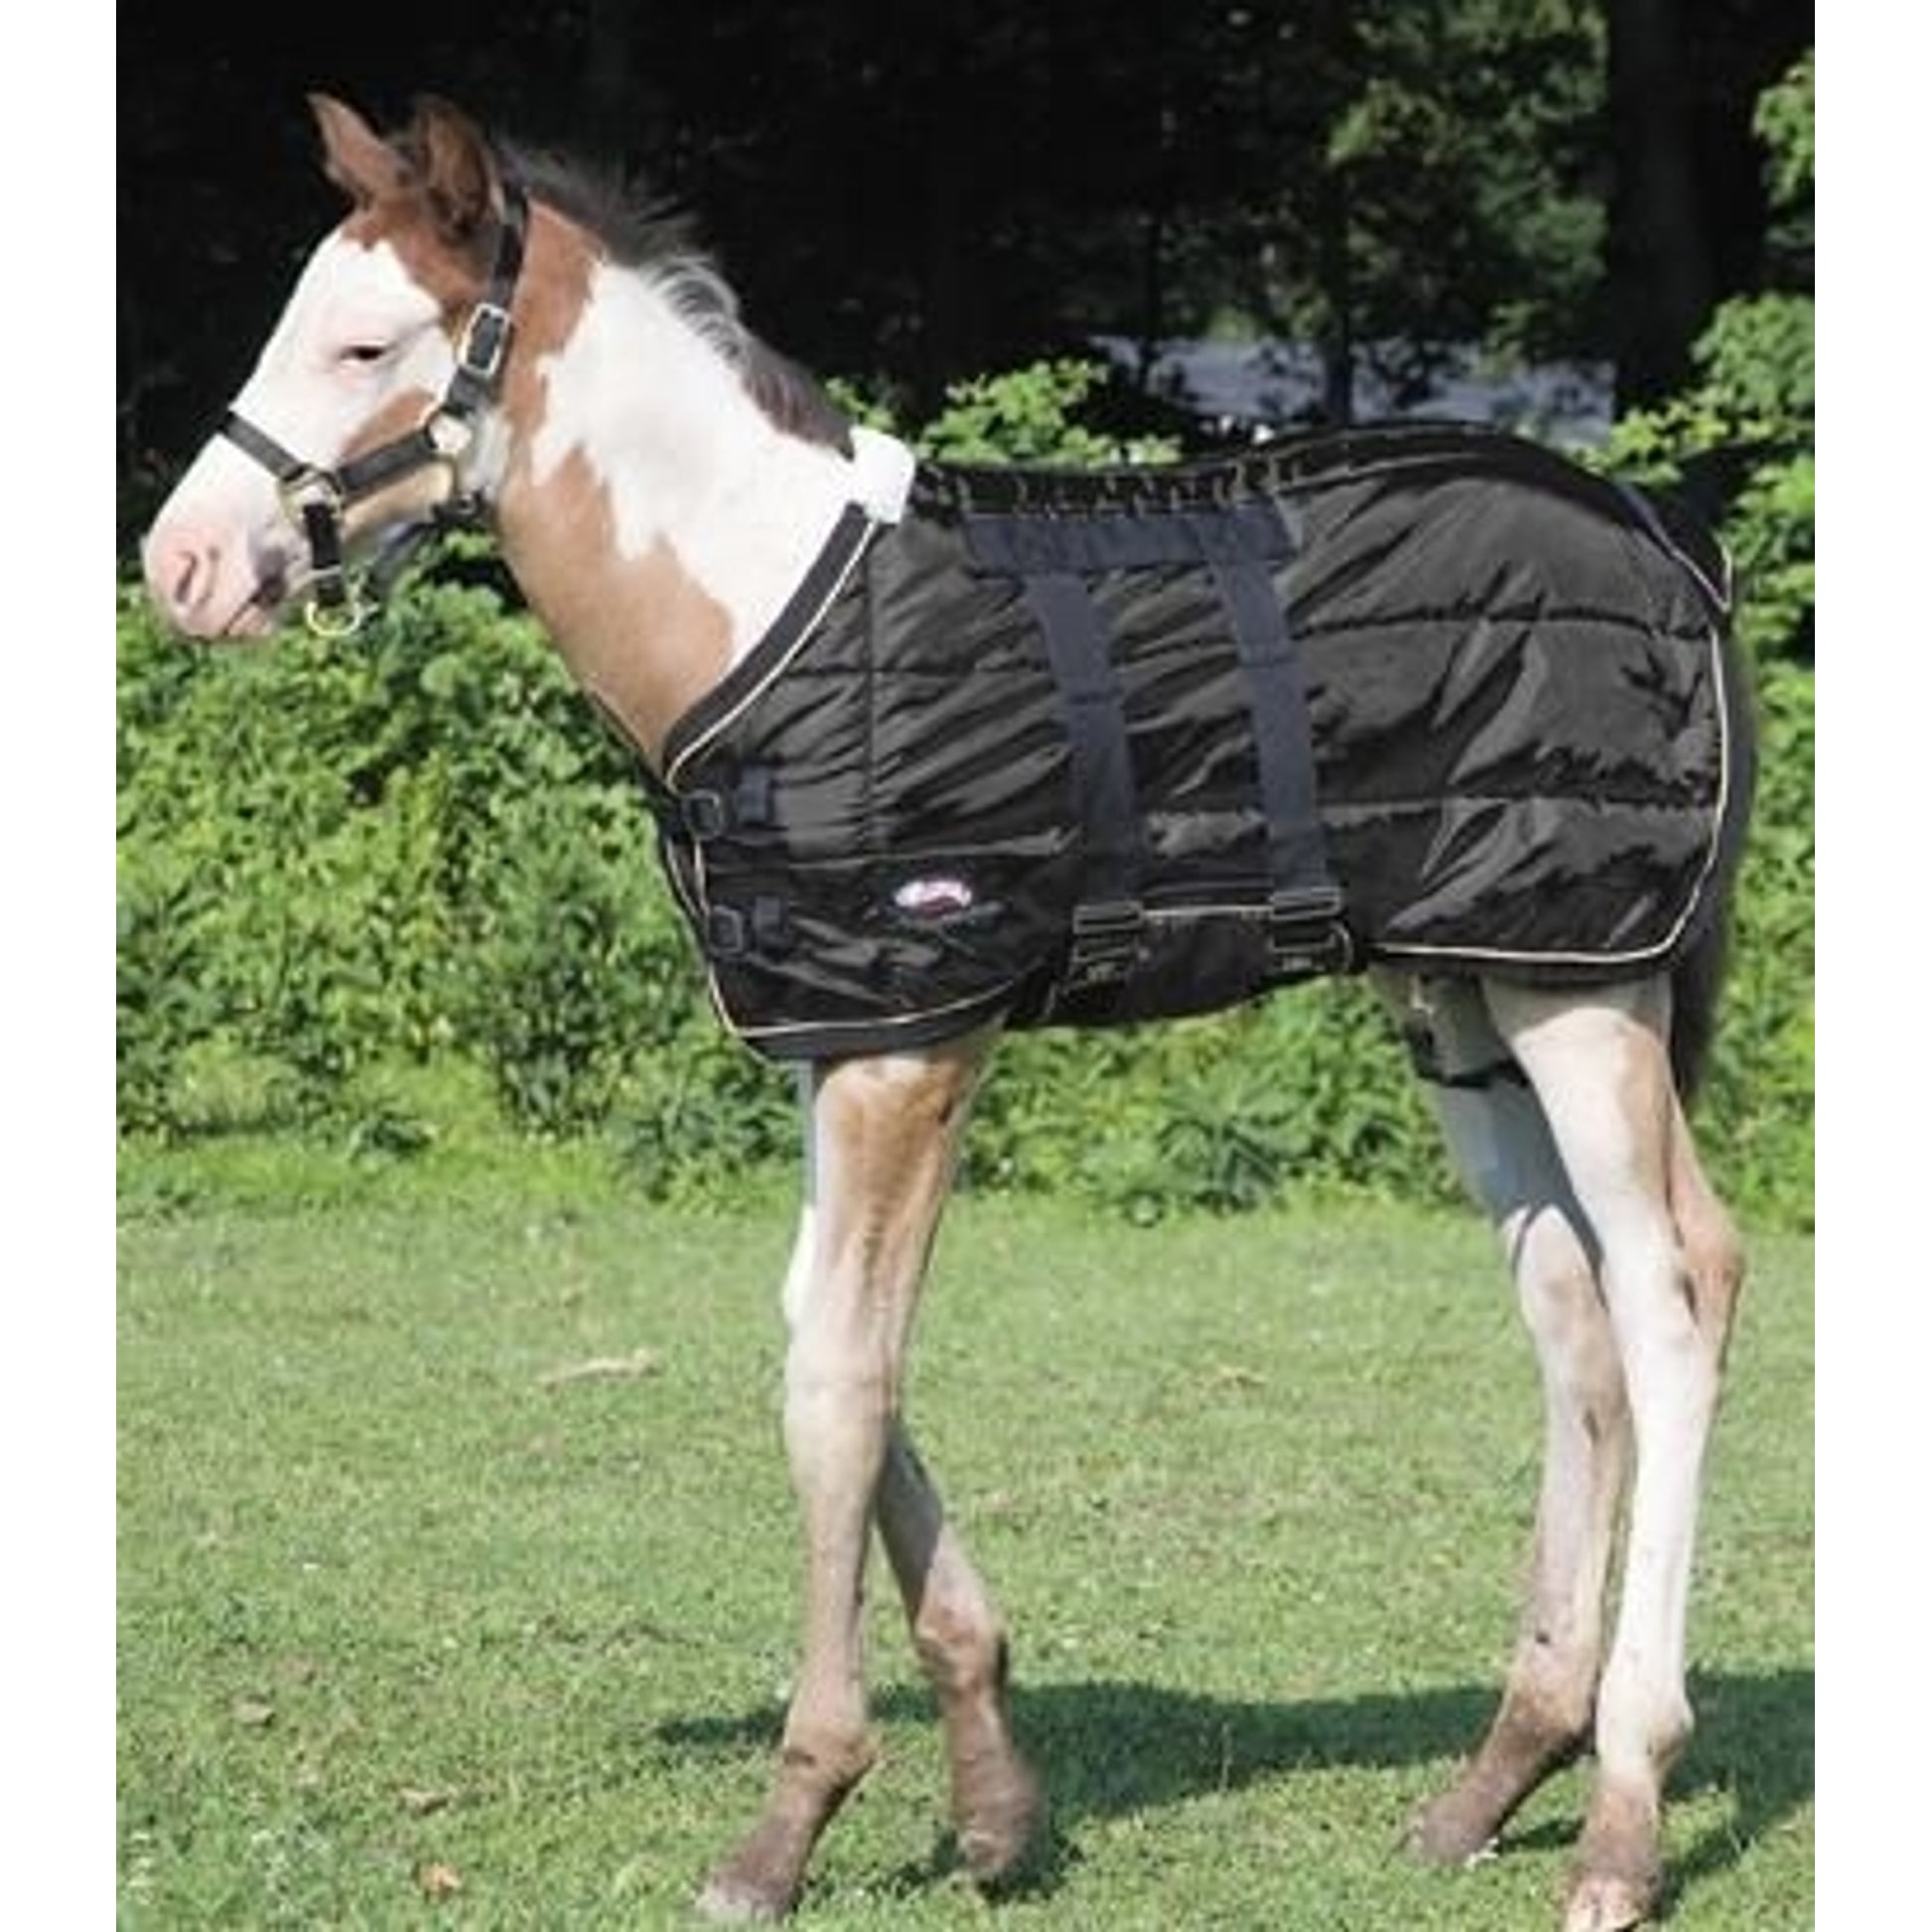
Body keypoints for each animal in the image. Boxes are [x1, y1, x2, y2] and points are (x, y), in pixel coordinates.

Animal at [139, 94, 1754, 1932]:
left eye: (365, 343)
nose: (181, 565)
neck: (761, 597)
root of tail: (1671, 544)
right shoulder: (839, 1033)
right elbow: (825, 1336)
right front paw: (990, 1797)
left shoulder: (913, 1040)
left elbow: (838, 1382)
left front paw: (793, 1815)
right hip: (1465, 992)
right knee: (1567, 1308)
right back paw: (1496, 1775)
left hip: (1583, 983)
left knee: (1672, 1287)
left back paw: (1623, 1811)